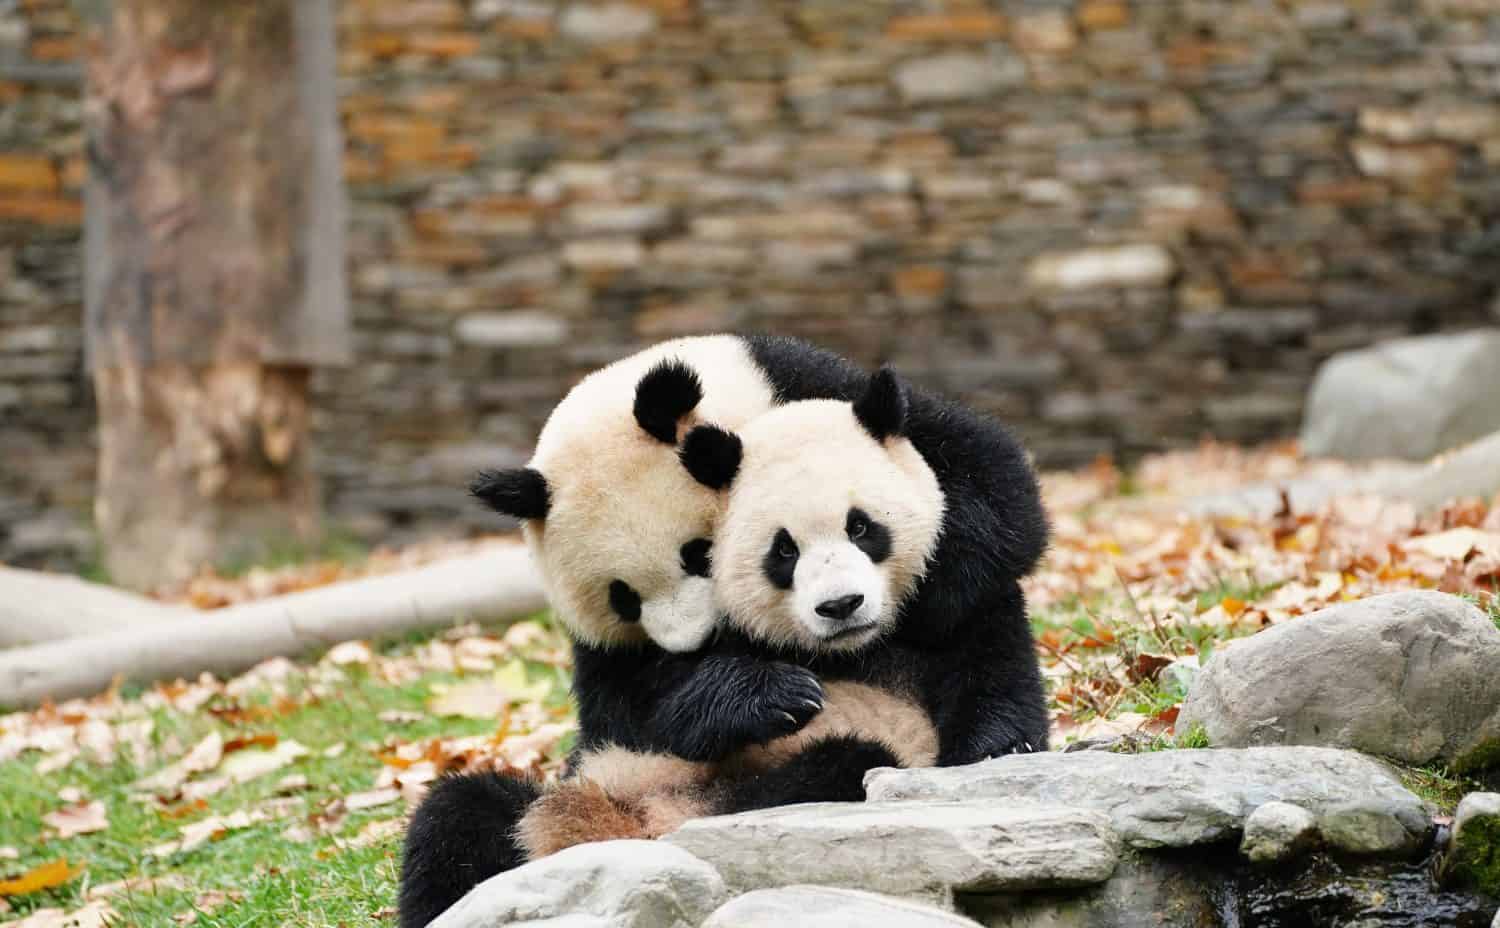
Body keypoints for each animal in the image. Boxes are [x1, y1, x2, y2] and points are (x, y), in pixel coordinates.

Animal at [399, 367, 1051, 928]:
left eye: (862, 527)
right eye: (783, 550)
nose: (841, 605)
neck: (843, 650)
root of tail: (642, 826)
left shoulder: (963, 603)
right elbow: (634, 711)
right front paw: (767, 696)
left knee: (841, 768)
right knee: (462, 813)